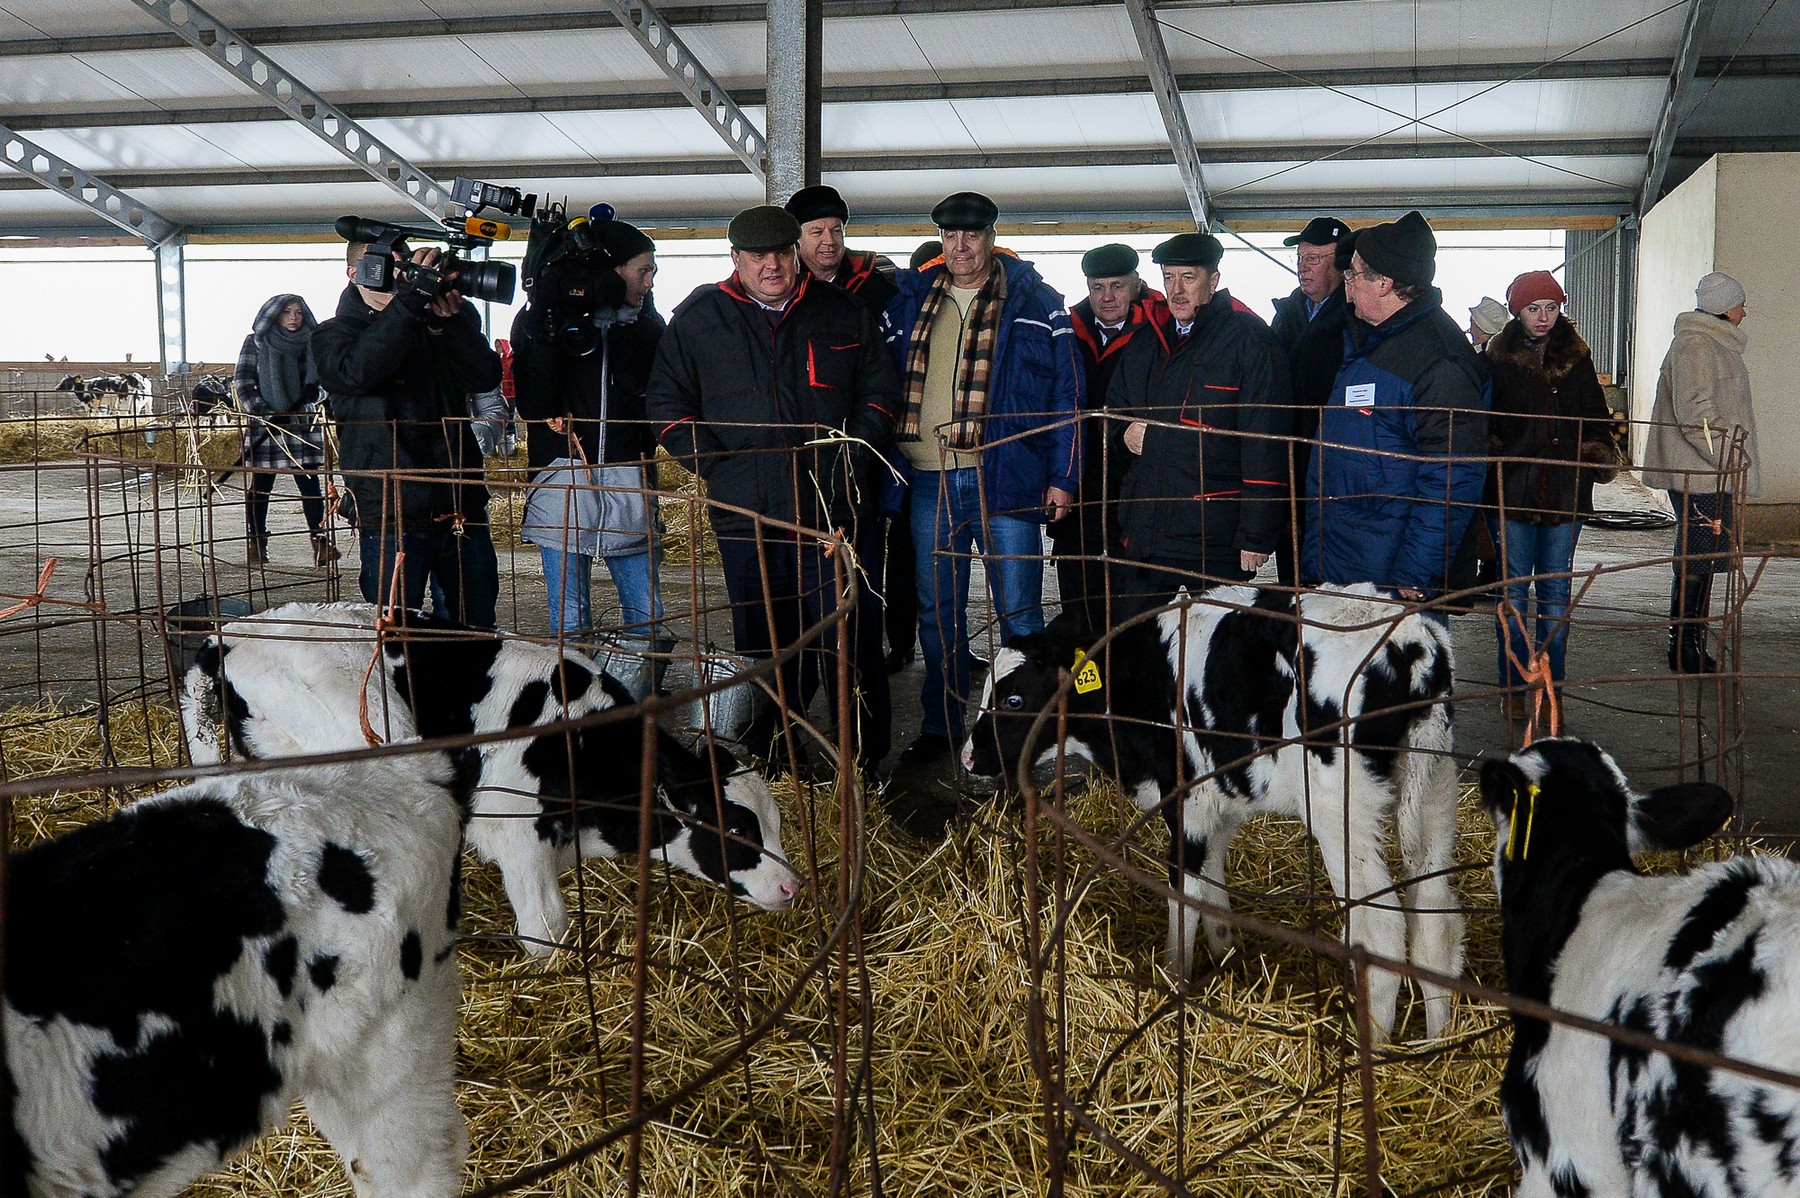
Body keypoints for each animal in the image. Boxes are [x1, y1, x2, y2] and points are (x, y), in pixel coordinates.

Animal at [182, 600, 795, 956]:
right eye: (737, 828)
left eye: (775, 822)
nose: (794, 886)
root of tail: (230, 633)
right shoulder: (518, 827)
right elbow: (547, 928)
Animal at [972, 582, 1461, 1028]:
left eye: (1014, 699)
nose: (969, 757)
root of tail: (1411, 644)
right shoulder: (1220, 807)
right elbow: (1214, 891)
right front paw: (1228, 958)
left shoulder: (1184, 803)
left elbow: (1184, 897)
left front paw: (1174, 984)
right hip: (1433, 790)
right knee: (1435, 919)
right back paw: (1433, 1045)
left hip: (1342, 812)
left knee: (1380, 931)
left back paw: (1375, 1041)